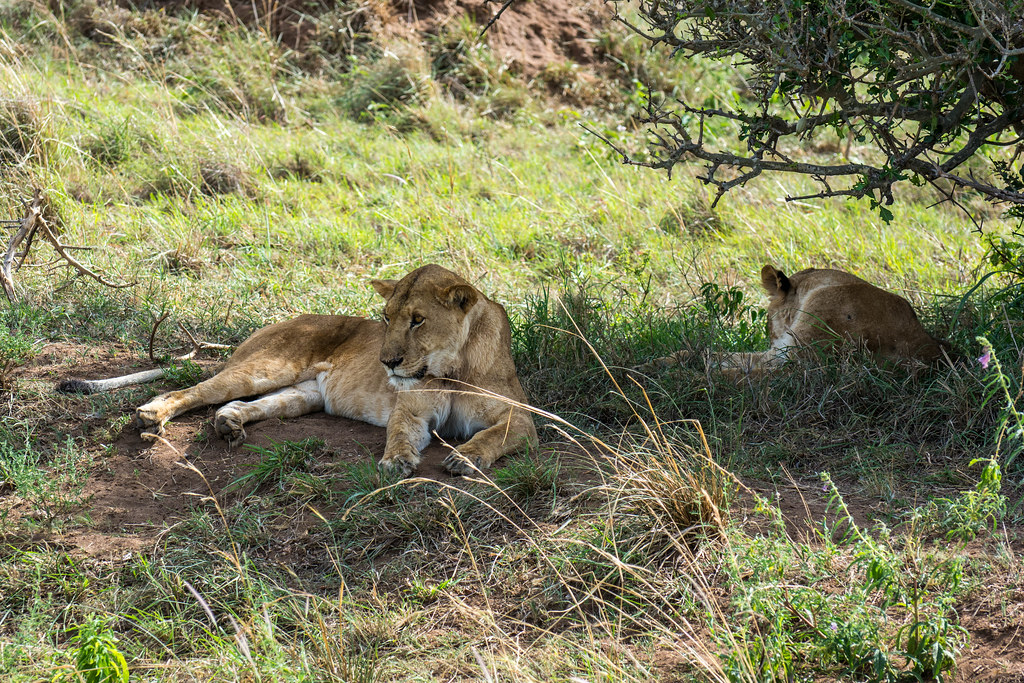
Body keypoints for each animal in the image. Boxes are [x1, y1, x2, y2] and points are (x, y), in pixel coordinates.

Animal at [63, 264, 538, 477]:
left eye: (418, 320)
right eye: (386, 317)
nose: (386, 361)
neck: (451, 367)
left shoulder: (524, 420)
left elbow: (494, 435)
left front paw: (467, 457)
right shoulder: (412, 409)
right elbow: (400, 431)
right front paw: (396, 461)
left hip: (303, 393)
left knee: (245, 404)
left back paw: (229, 425)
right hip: (265, 367)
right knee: (192, 391)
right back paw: (151, 415)